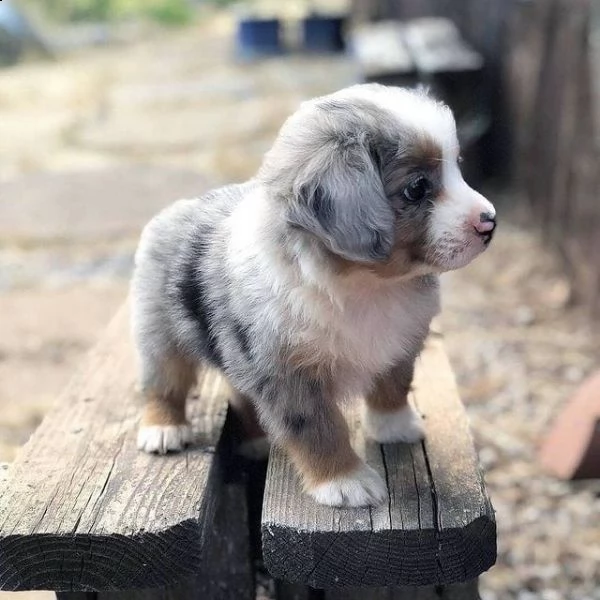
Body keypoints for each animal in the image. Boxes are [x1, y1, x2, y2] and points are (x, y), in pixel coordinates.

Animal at [132, 83, 496, 506]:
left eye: (457, 166)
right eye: (417, 188)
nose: (490, 223)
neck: (364, 284)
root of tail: (176, 209)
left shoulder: (401, 341)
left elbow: (393, 385)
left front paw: (394, 426)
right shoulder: (289, 376)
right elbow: (318, 429)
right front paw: (344, 480)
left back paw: (255, 442)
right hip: (159, 334)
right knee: (164, 383)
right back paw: (163, 429)